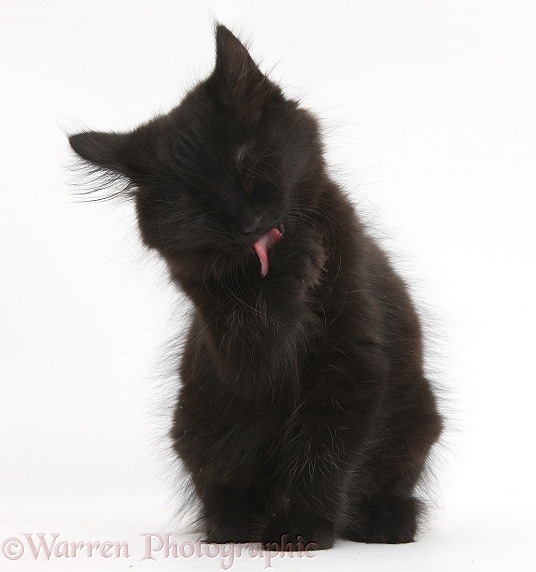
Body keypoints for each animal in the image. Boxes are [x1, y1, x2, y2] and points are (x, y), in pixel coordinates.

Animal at [69, 25, 442, 548]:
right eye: (195, 205)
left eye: (247, 167)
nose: (248, 223)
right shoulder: (230, 337)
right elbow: (258, 345)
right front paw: (288, 269)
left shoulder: (350, 357)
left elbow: (323, 450)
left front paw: (302, 527)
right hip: (195, 421)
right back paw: (231, 521)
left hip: (420, 416)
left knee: (394, 477)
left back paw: (387, 519)